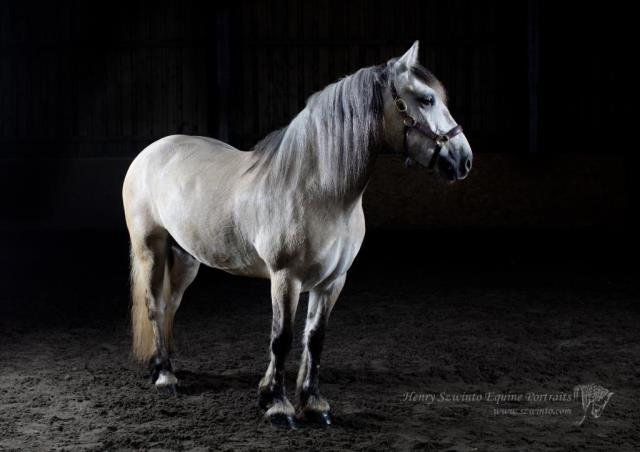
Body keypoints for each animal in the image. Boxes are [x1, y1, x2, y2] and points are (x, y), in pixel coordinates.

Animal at [122, 41, 472, 428]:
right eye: (426, 99)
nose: (464, 160)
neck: (317, 191)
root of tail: (151, 151)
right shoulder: (284, 278)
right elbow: (282, 339)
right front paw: (277, 405)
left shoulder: (333, 281)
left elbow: (314, 339)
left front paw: (313, 404)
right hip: (150, 250)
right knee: (155, 305)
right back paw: (165, 377)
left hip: (186, 257)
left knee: (171, 305)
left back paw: (165, 365)